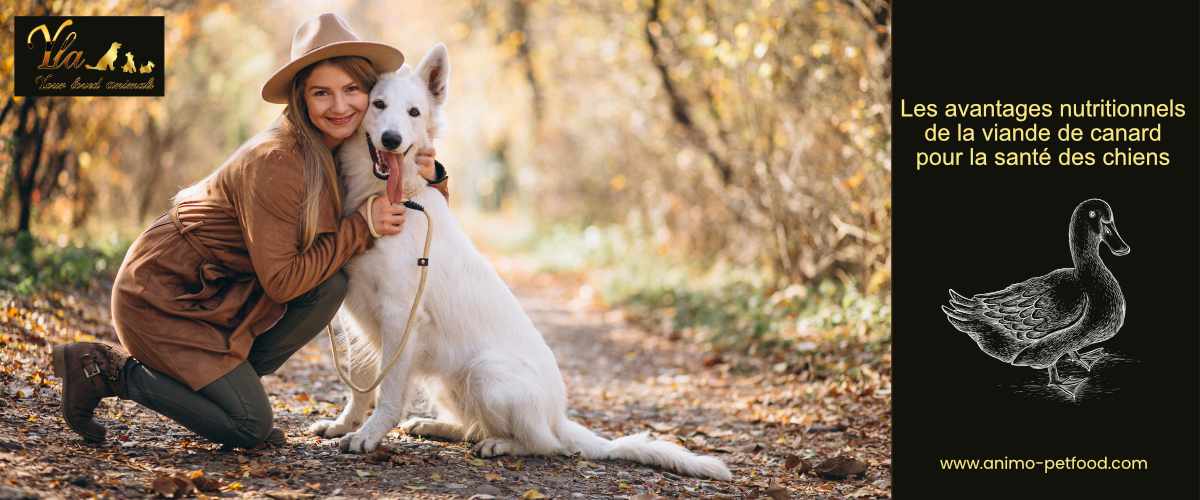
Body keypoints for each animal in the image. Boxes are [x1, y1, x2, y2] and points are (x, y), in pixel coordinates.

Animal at [307, 44, 729, 482]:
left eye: (414, 112)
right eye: (378, 104)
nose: (391, 139)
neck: (397, 197)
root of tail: (559, 416)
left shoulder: (399, 317)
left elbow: (388, 393)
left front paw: (368, 436)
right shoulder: (359, 313)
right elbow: (360, 384)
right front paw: (345, 424)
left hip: (487, 373)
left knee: (546, 444)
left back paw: (501, 444)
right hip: (448, 380)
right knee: (475, 426)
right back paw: (437, 426)